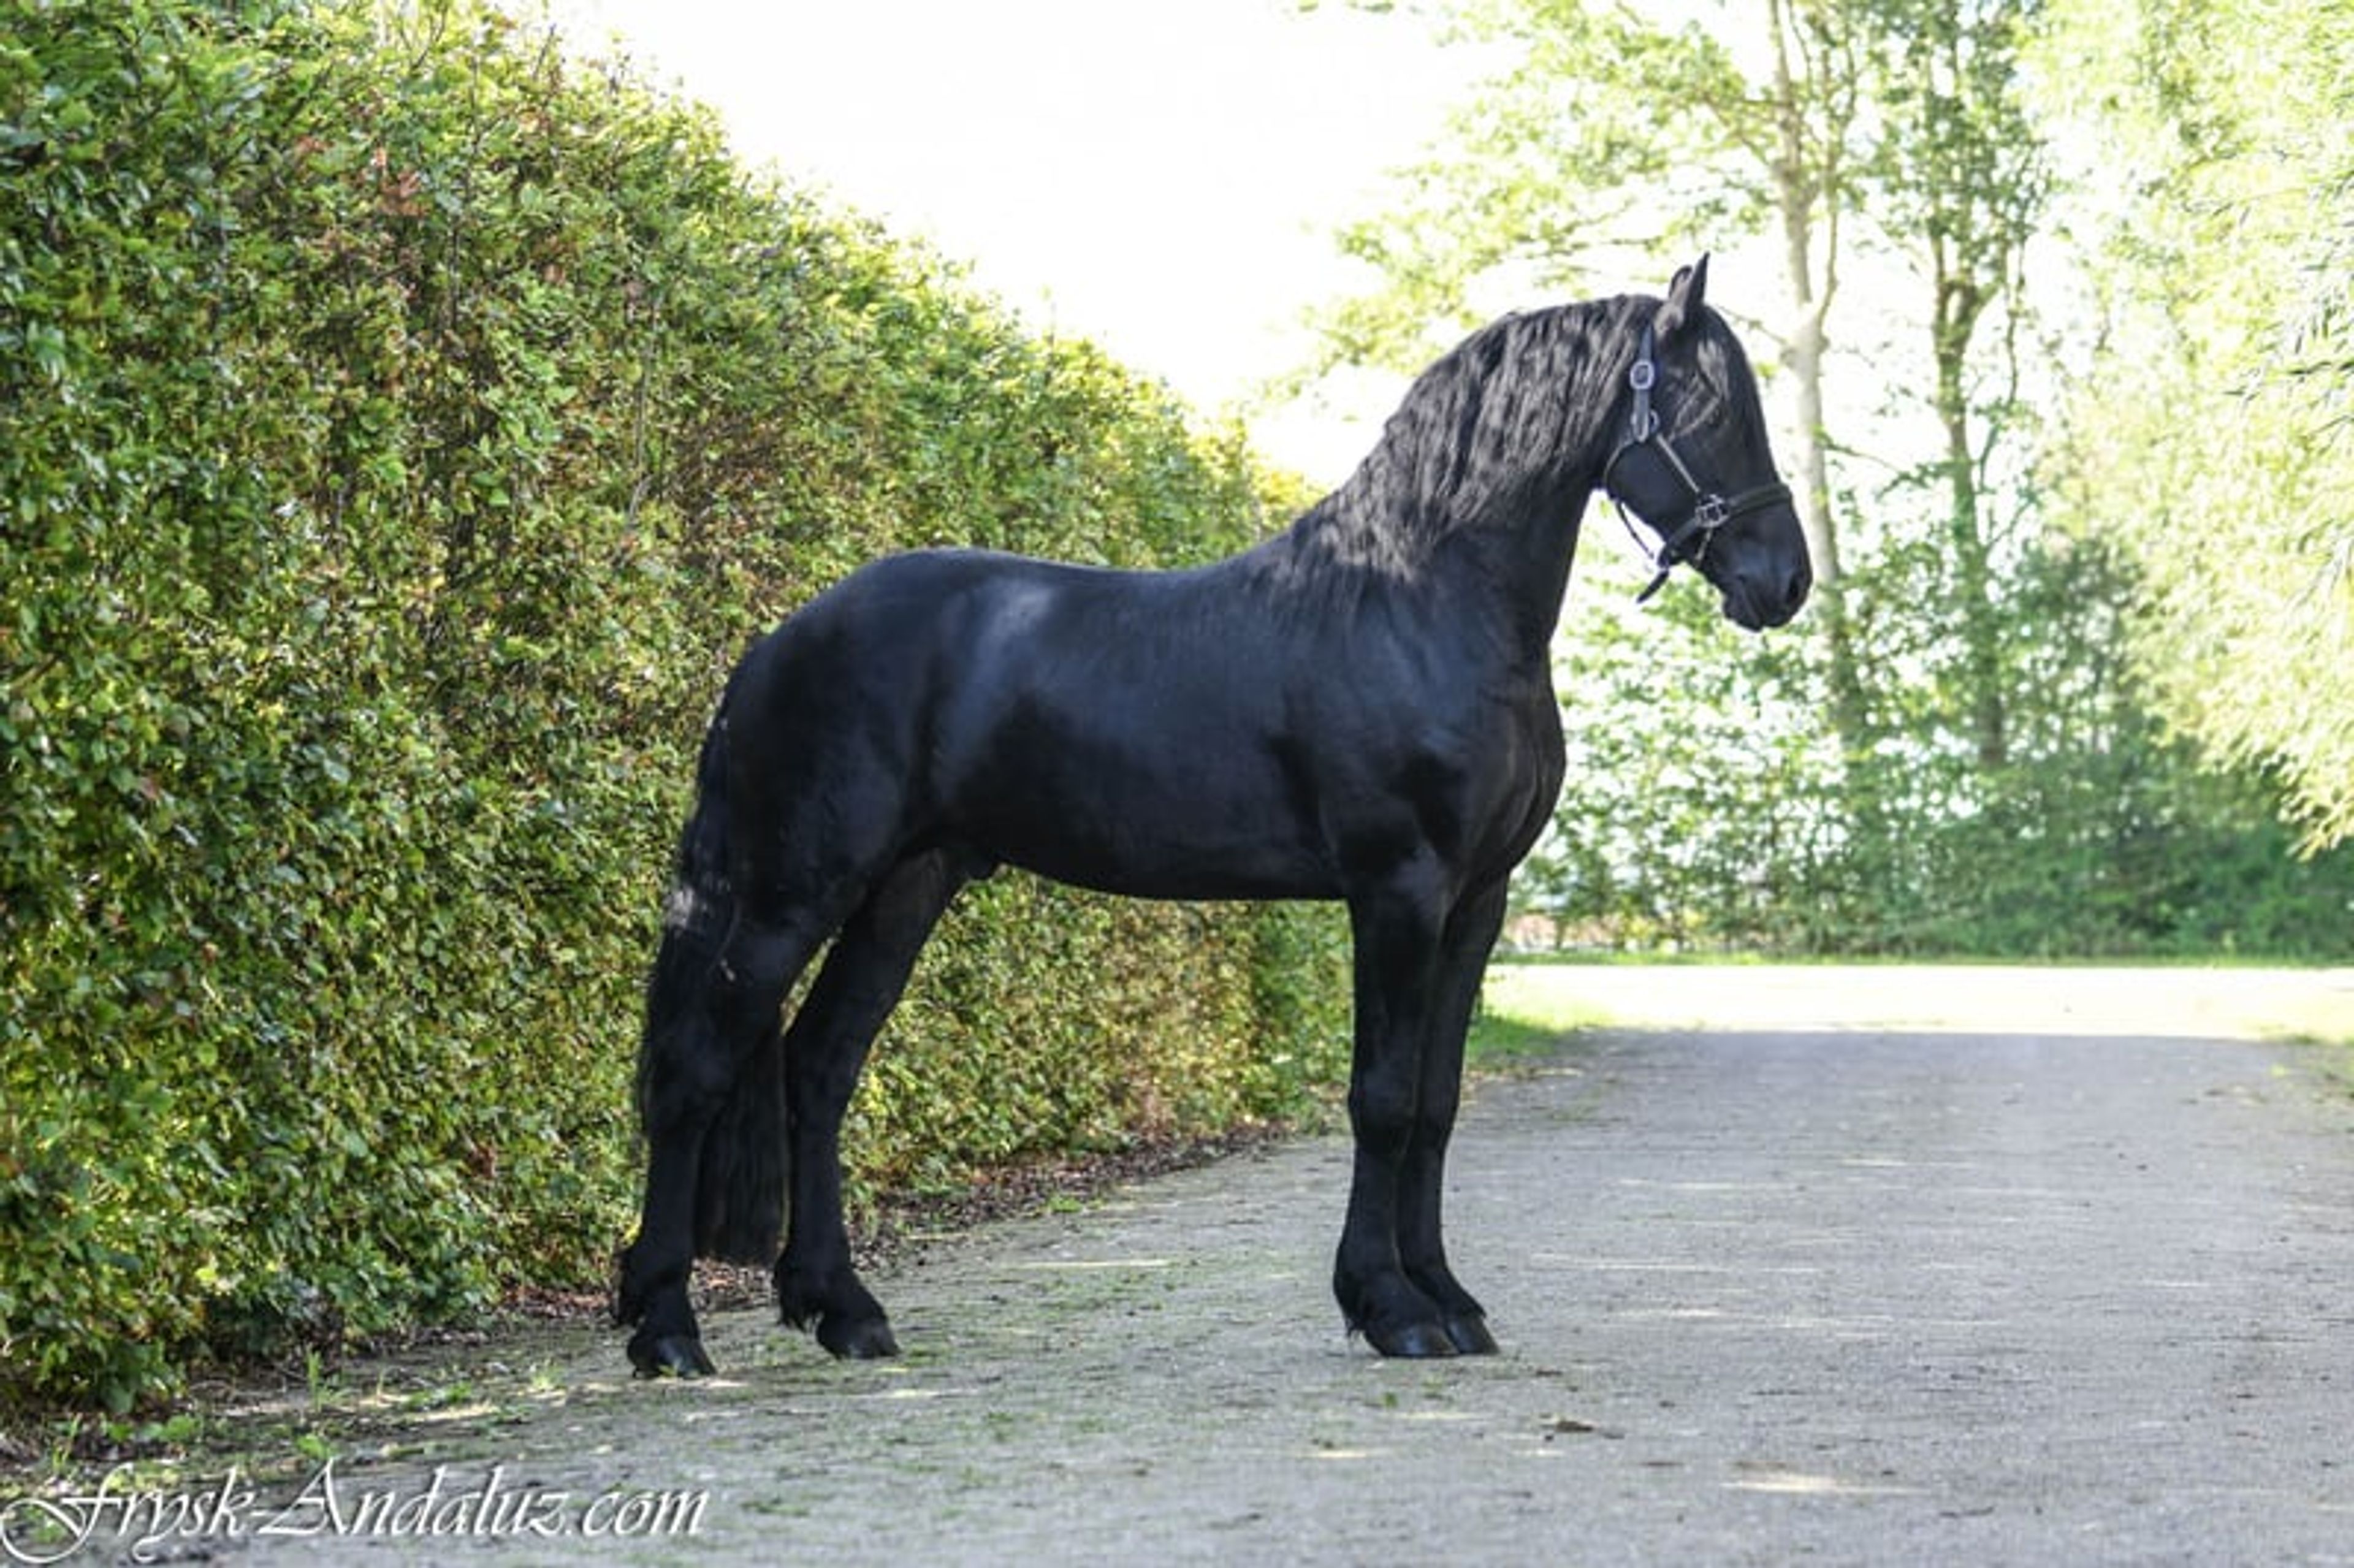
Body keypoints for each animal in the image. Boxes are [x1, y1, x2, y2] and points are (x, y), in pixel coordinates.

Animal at [615, 256, 1811, 1375]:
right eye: (1716, 414)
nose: (1786, 581)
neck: (1419, 602)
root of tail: (780, 639)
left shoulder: (1478, 899)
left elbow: (1438, 1101)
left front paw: (1451, 1299)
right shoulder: (1398, 888)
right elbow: (1383, 1096)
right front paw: (1391, 1308)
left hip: (908, 882)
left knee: (820, 1065)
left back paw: (844, 1310)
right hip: (794, 885)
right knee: (699, 1067)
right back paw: (667, 1327)